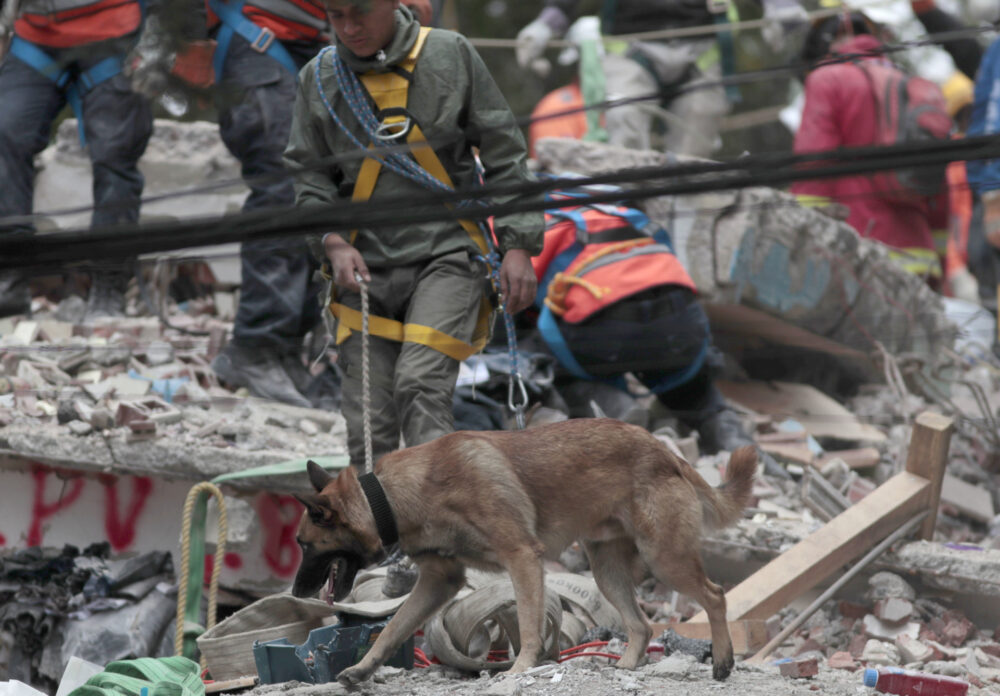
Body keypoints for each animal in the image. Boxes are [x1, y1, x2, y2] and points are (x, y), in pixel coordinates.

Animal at [292, 418, 752, 684]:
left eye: (304, 545)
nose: (296, 593)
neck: (389, 497)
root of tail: (664, 451)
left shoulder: (522, 558)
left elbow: (529, 622)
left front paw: (521, 667)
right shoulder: (439, 582)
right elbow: (392, 629)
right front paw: (362, 668)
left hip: (665, 558)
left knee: (715, 595)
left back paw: (722, 662)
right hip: (607, 572)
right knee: (641, 624)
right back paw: (628, 665)